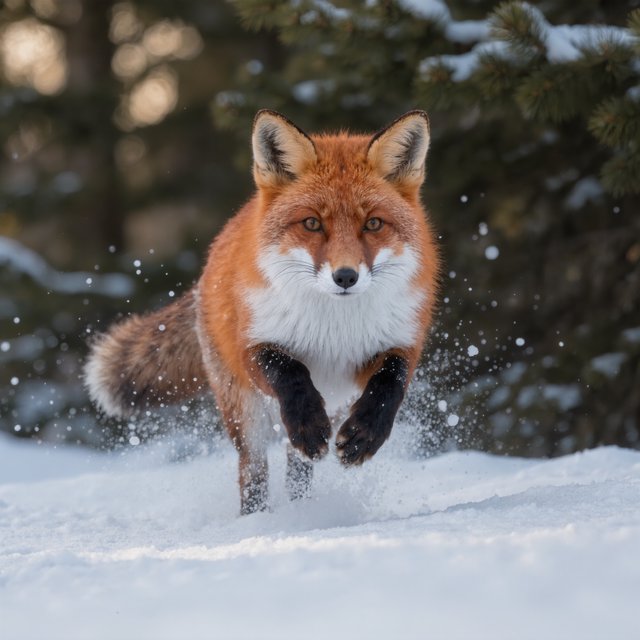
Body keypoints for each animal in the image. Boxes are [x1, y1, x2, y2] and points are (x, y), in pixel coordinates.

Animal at [85, 110, 440, 514]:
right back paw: (258, 519)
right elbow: (290, 373)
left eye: (374, 223)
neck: (334, 327)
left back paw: (302, 509)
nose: (346, 277)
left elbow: (389, 385)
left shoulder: (398, 345)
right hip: (243, 413)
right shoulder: (252, 346)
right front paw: (307, 424)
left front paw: (364, 436)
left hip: (333, 403)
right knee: (254, 474)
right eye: (312, 223)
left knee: (298, 468)